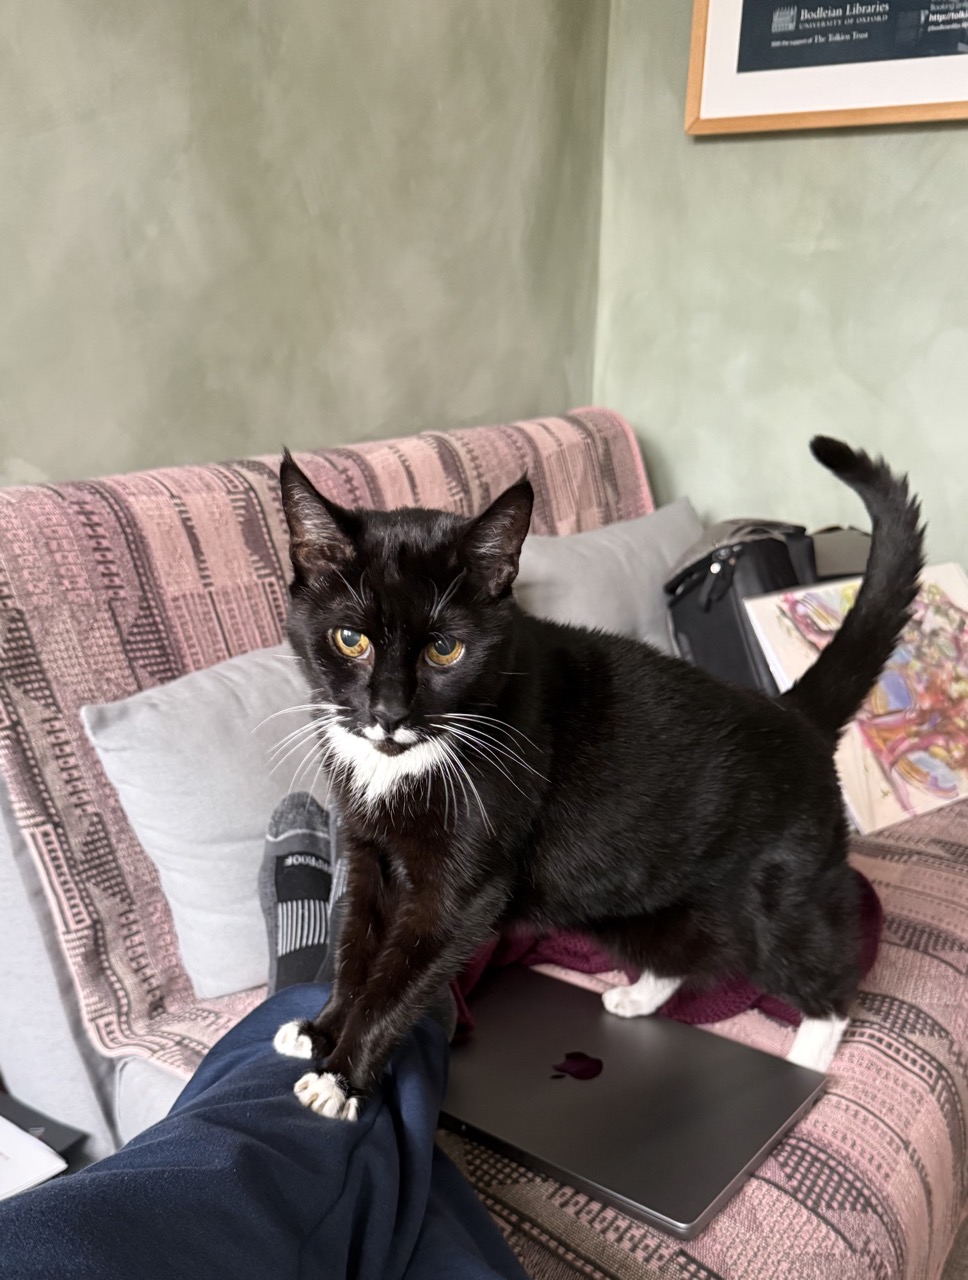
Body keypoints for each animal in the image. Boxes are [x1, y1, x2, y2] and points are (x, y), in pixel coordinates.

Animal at [272, 440, 921, 1121]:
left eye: (445, 650)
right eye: (350, 639)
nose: (389, 713)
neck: (400, 764)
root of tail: (794, 712)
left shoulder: (462, 891)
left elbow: (399, 979)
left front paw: (341, 1077)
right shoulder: (368, 851)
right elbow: (355, 945)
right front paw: (321, 1030)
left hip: (782, 891)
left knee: (828, 975)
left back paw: (807, 1061)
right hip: (625, 886)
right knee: (682, 949)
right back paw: (636, 998)